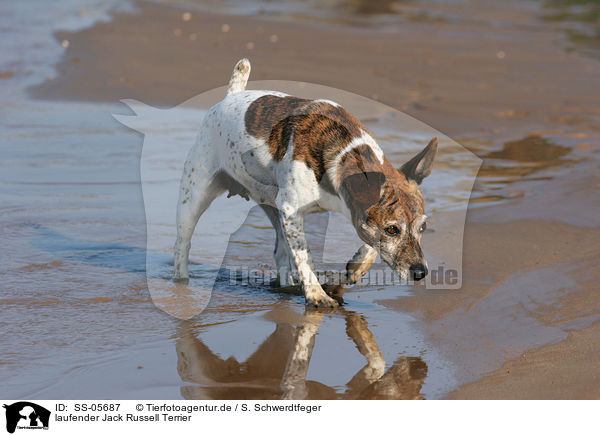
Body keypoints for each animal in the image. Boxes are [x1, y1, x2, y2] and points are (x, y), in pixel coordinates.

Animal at [173, 59, 436, 308]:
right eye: (392, 229)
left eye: (422, 227)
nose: (420, 272)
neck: (343, 151)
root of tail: (231, 95)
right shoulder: (292, 211)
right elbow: (305, 256)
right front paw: (317, 294)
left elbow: (368, 246)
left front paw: (356, 266)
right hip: (194, 199)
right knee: (182, 245)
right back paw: (181, 284)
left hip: (274, 209)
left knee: (280, 252)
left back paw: (285, 286)